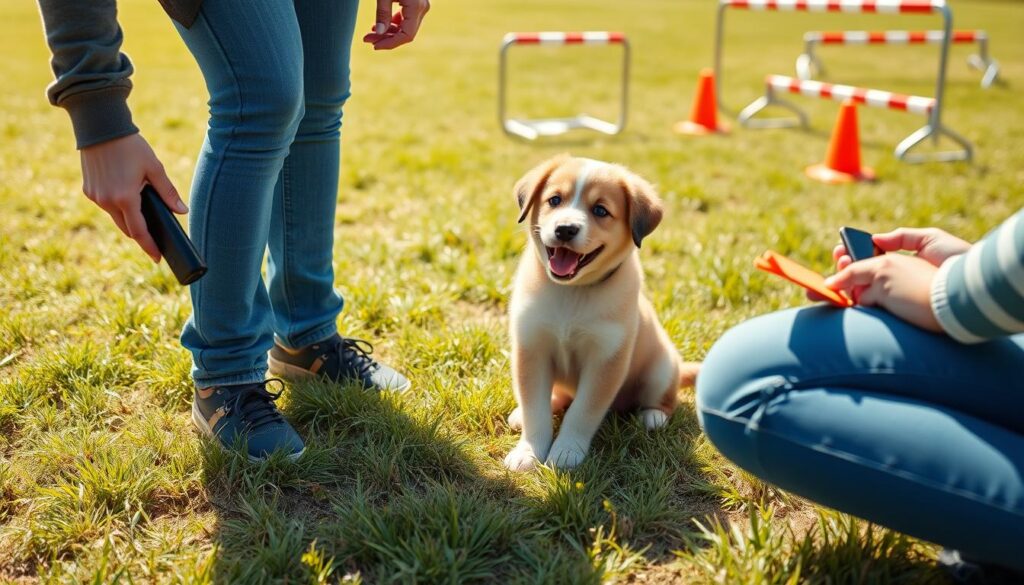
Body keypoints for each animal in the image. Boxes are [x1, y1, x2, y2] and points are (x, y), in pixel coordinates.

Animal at [505, 154, 700, 471]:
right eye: (554, 200)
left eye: (600, 210)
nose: (565, 229)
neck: (572, 293)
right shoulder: (532, 348)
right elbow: (535, 409)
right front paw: (529, 452)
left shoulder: (606, 358)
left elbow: (582, 413)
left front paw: (566, 452)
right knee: (557, 397)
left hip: (660, 369)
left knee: (663, 399)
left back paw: (652, 416)